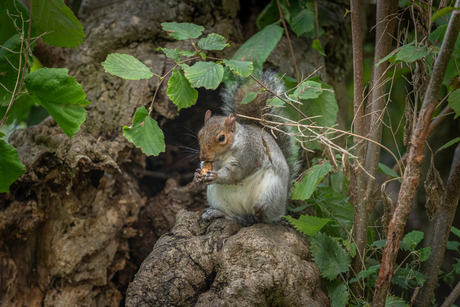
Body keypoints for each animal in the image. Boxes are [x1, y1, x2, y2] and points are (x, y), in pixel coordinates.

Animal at [193, 72, 298, 226]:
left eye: (221, 138)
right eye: (199, 134)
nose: (203, 156)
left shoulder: (249, 154)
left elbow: (235, 174)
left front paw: (214, 176)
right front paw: (197, 175)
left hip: (272, 191)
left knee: (263, 218)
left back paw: (260, 211)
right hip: (216, 197)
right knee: (235, 217)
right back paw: (218, 213)